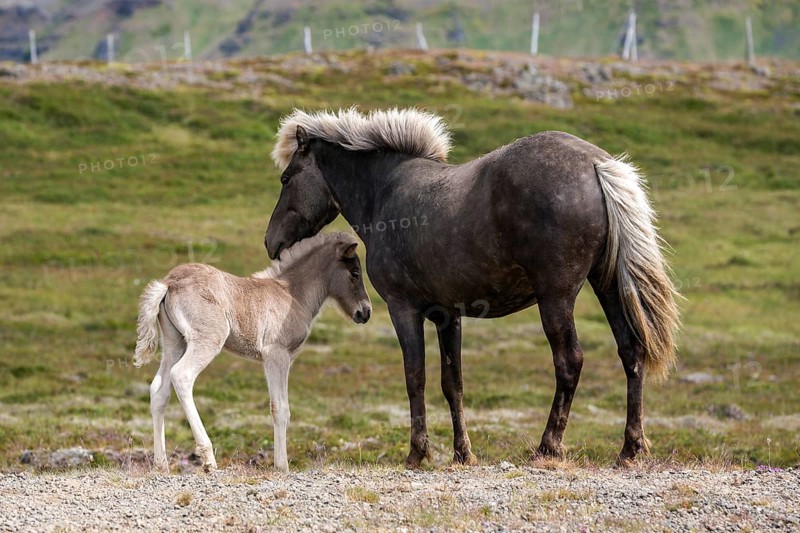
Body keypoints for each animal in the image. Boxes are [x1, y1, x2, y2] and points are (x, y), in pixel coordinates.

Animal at [133, 232, 372, 472]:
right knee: (181, 376)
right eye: (355, 272)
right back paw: (208, 458)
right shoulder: (276, 355)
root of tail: (169, 283)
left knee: (159, 389)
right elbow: (280, 408)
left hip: (174, 343)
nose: (366, 312)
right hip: (208, 339)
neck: (293, 294)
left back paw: (161, 464)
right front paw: (282, 466)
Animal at [264, 108, 680, 468]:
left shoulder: (403, 309)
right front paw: (463, 453)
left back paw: (548, 446)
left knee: (570, 361)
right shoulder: (447, 315)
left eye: (286, 179)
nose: (271, 241)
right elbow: (453, 383)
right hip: (607, 286)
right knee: (631, 352)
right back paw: (629, 449)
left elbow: (415, 378)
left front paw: (417, 454)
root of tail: (595, 164)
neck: (386, 192)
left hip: (556, 298)